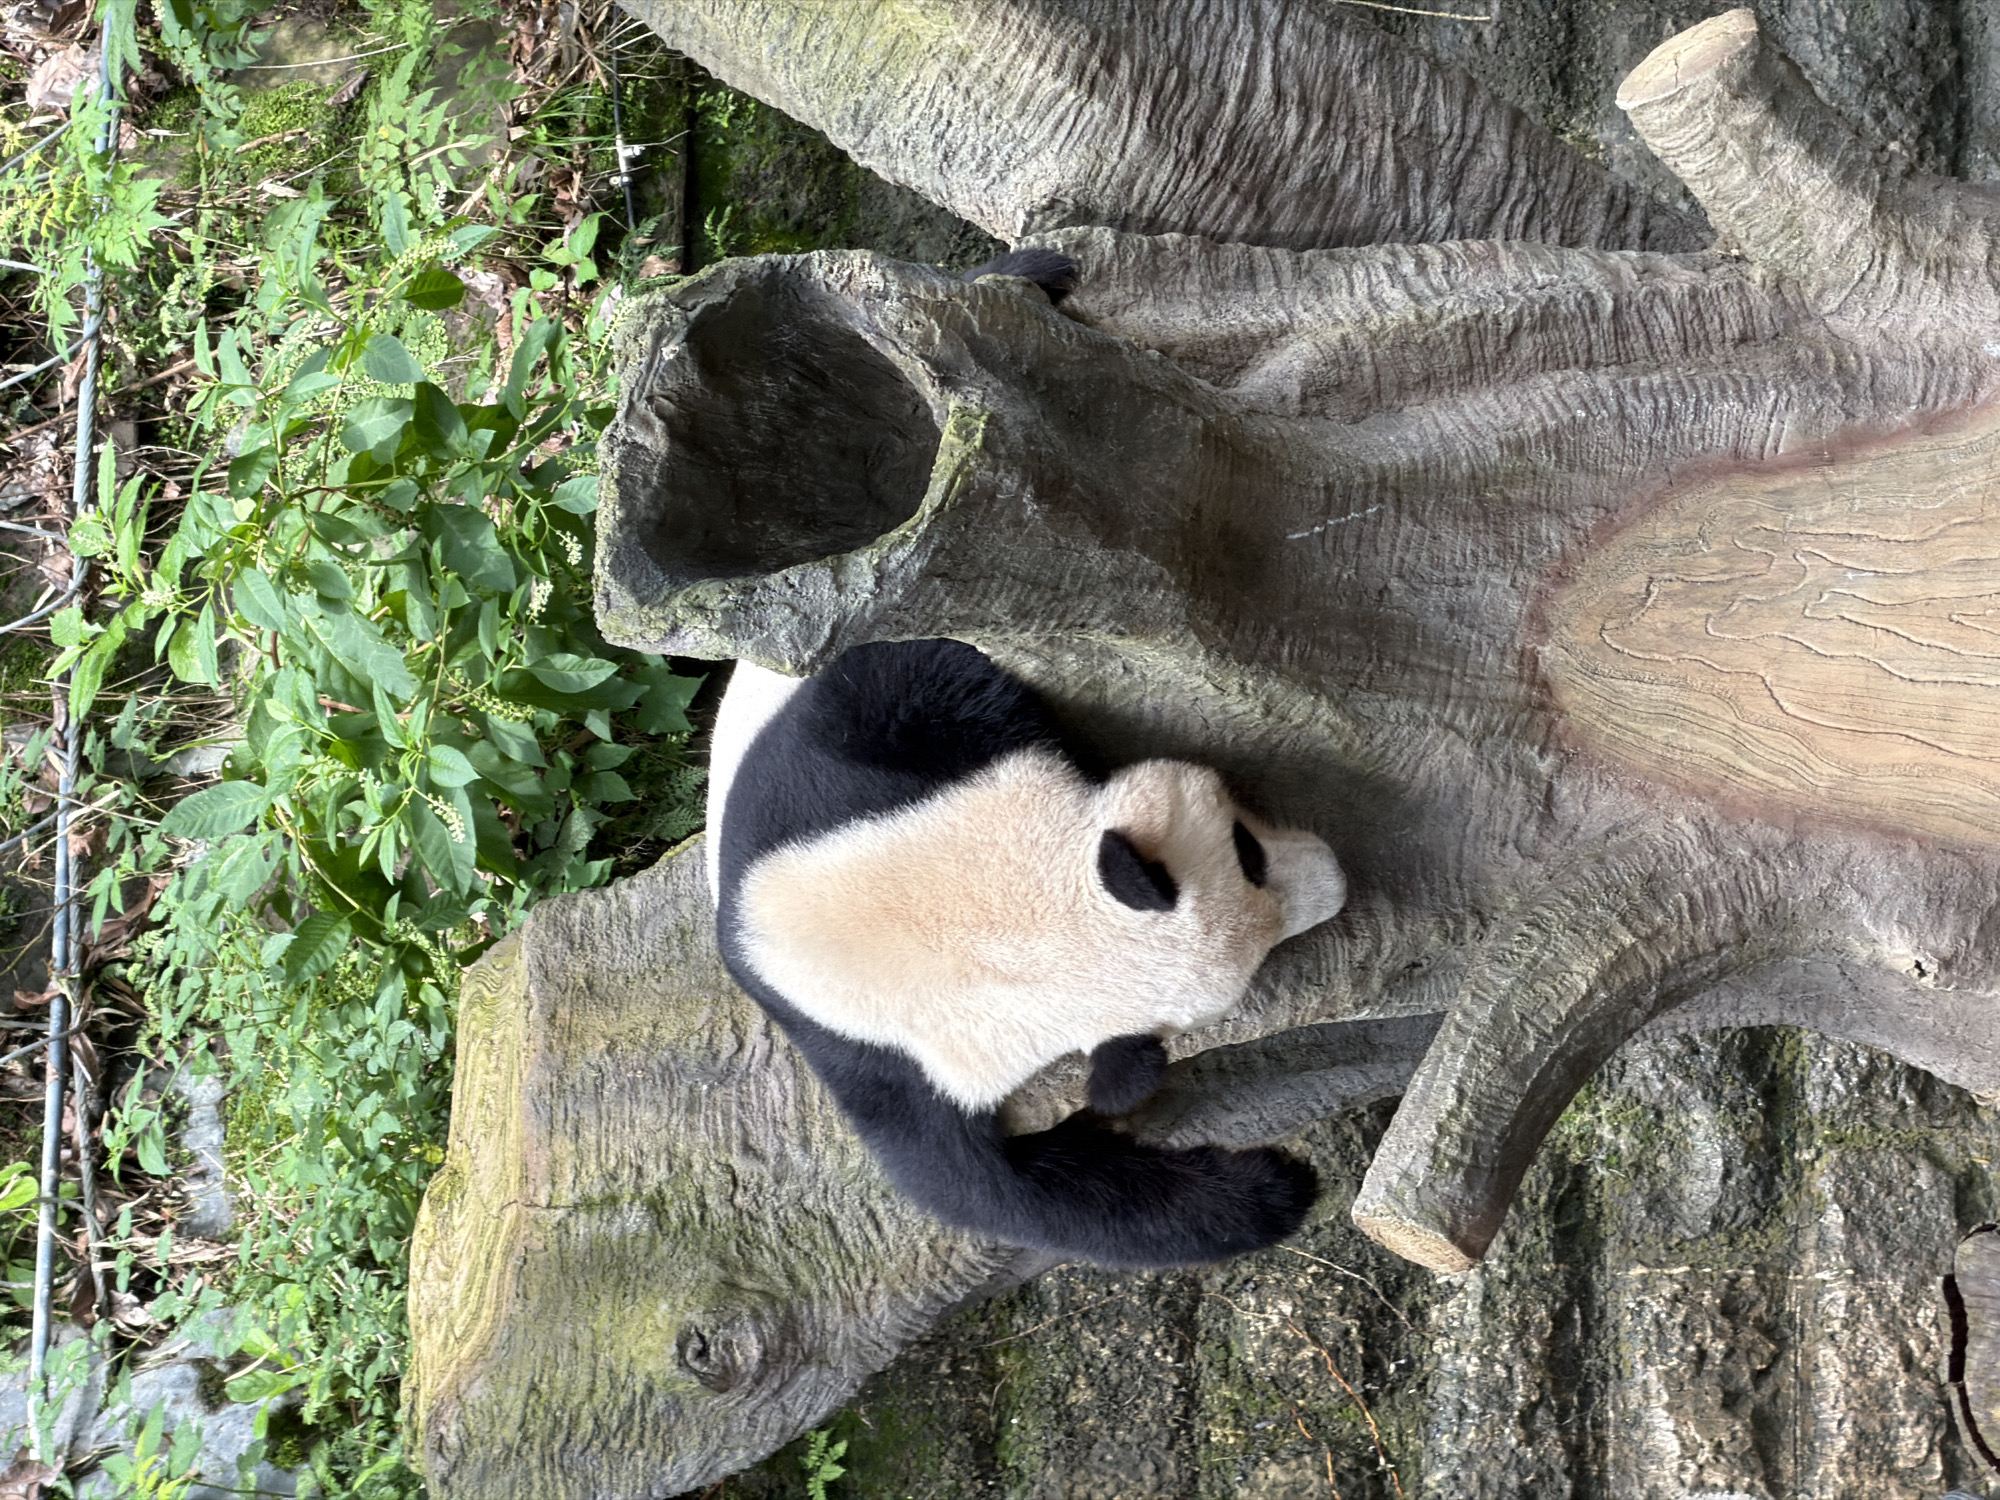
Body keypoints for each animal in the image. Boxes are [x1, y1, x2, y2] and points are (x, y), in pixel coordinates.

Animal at [708, 639, 1349, 1268]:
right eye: (1248, 853)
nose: (1338, 879)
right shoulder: (892, 1063)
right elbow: (996, 1192)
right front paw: (1278, 1187)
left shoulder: (832, 799)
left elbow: (910, 676)